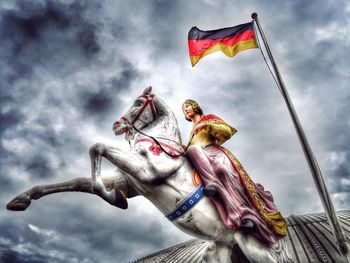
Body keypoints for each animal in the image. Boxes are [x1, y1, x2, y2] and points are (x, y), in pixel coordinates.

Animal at [7, 87, 292, 263]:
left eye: (137, 102)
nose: (117, 125)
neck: (159, 142)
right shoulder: (131, 181)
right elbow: (79, 181)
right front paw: (22, 198)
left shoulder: (148, 172)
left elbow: (97, 148)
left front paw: (115, 199)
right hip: (220, 250)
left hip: (257, 250)